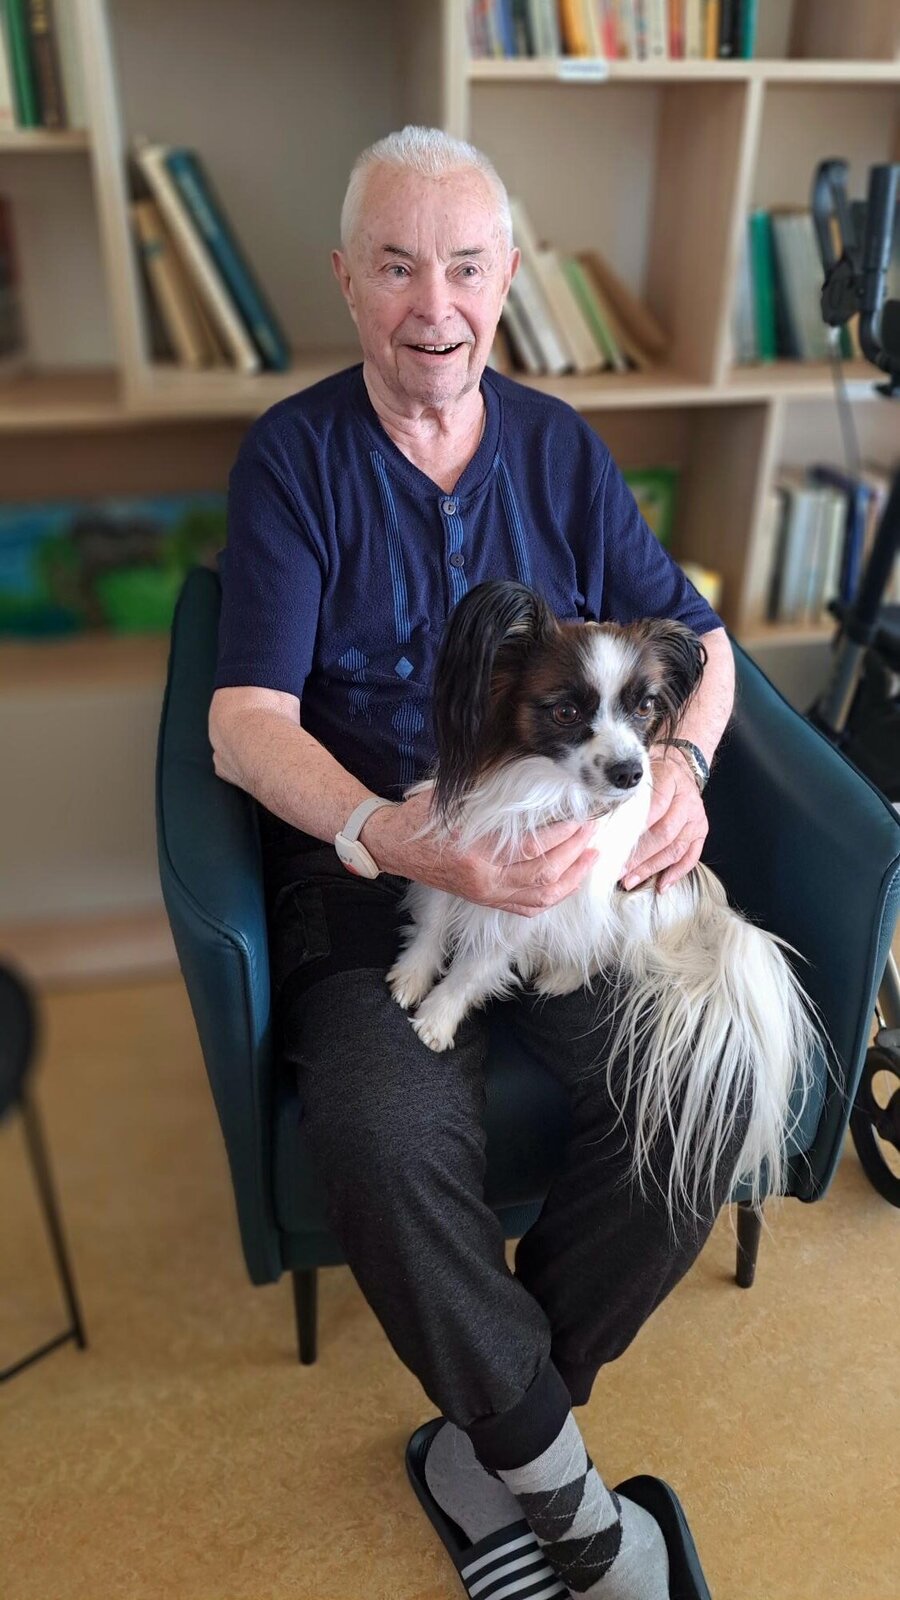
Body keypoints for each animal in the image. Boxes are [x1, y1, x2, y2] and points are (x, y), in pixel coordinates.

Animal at [386, 579, 822, 1222]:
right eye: (567, 712)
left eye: (644, 709)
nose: (631, 773)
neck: (538, 785)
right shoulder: (460, 852)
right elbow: (437, 922)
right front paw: (412, 978)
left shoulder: (536, 901)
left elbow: (475, 966)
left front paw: (437, 1019)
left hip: (625, 906)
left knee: (602, 951)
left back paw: (561, 974)